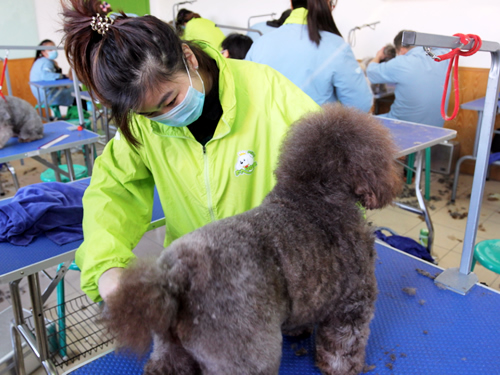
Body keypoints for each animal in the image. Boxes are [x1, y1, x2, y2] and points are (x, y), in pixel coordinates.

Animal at [104, 103, 402, 375]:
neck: (316, 196)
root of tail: (177, 276)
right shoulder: (353, 302)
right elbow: (343, 346)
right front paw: (343, 368)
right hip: (248, 354)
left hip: (171, 346)